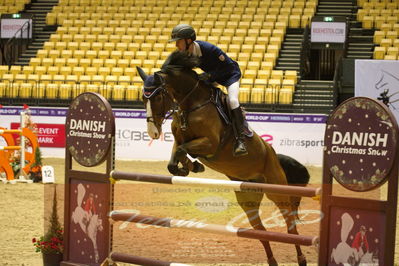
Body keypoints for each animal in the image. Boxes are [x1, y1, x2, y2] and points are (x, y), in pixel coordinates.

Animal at [138, 51, 312, 264]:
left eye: (158, 96)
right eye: (143, 98)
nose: (153, 133)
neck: (192, 104)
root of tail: (271, 152)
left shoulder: (211, 143)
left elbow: (183, 151)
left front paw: (192, 166)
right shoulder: (179, 140)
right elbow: (175, 158)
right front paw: (190, 167)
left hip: (277, 189)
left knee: (290, 224)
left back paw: (302, 258)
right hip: (248, 198)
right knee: (260, 231)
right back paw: (272, 261)